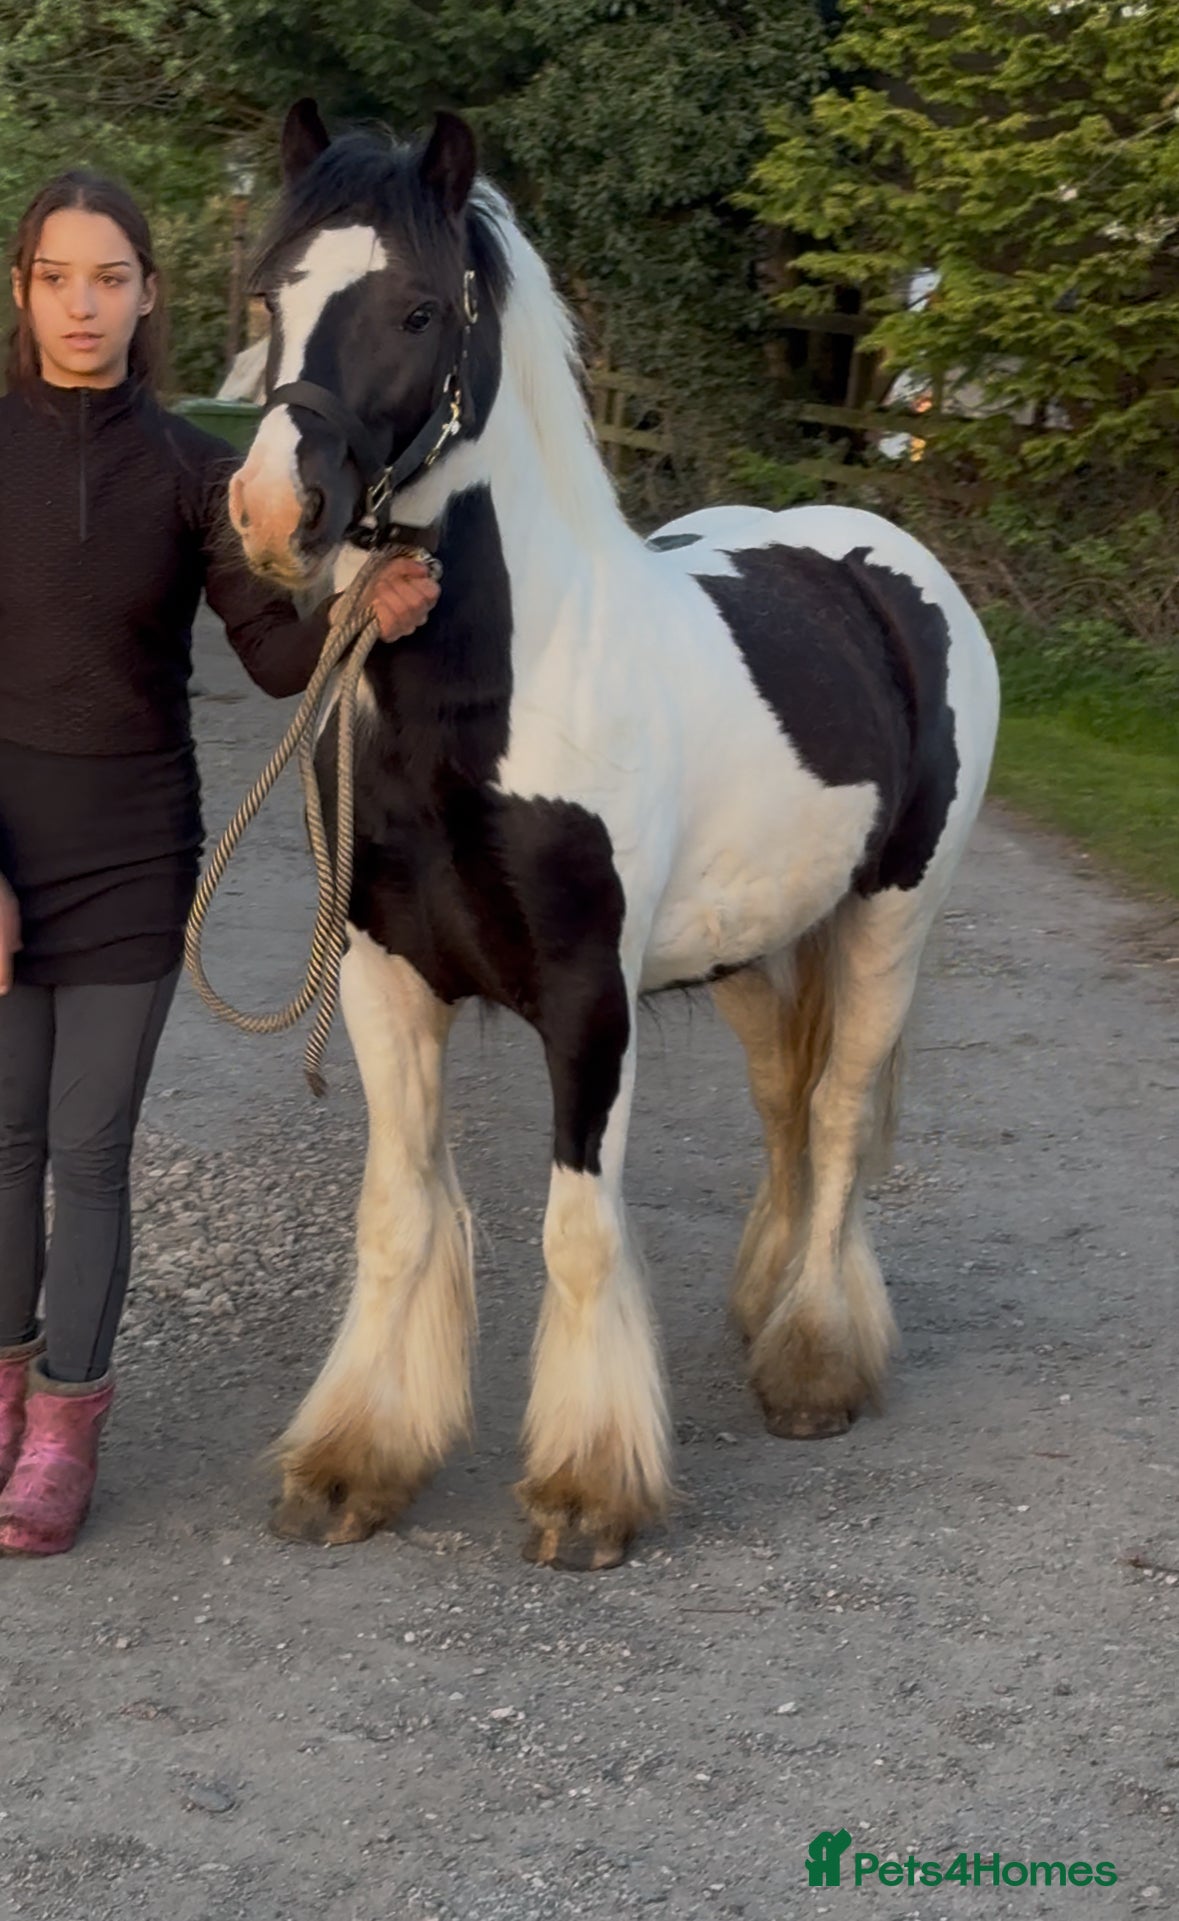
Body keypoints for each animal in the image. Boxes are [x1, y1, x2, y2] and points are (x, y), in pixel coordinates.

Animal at [227, 99, 1000, 1570]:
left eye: (418, 307)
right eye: (270, 291)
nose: (270, 514)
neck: (490, 698)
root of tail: (884, 562)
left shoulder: (590, 999)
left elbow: (577, 1229)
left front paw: (588, 1488)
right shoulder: (384, 979)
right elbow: (397, 1216)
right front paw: (356, 1460)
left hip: (890, 922)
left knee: (831, 1115)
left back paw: (812, 1358)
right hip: (749, 949)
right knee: (782, 1103)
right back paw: (763, 1302)